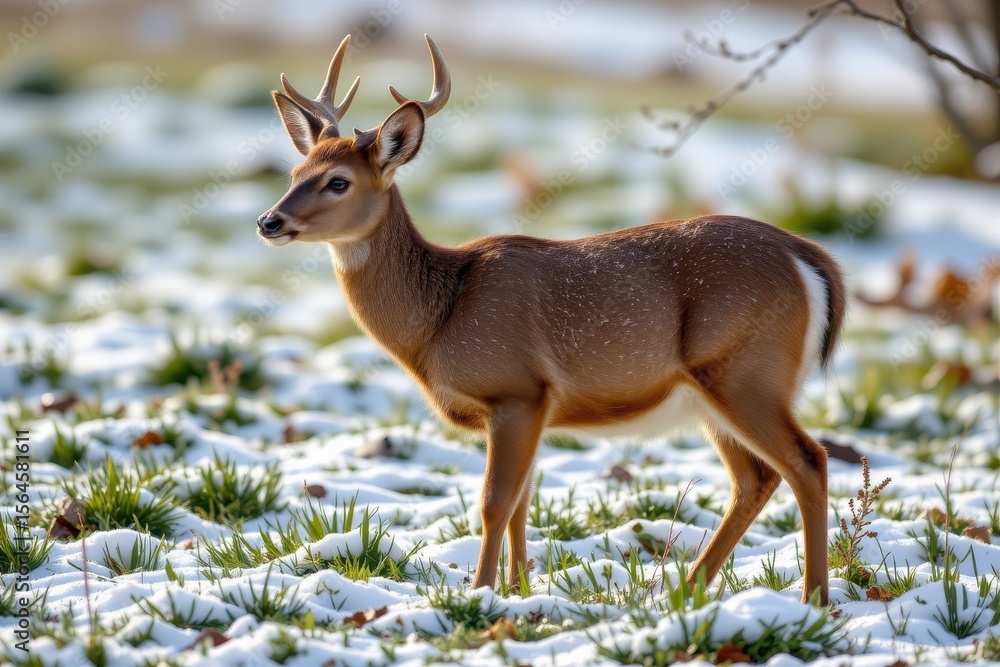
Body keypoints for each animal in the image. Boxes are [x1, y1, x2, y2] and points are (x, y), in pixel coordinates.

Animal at [257, 34, 846, 605]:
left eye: (338, 182)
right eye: (294, 173)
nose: (269, 221)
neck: (438, 318)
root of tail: (807, 255)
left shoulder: (515, 389)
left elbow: (495, 502)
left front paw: (481, 595)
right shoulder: (534, 408)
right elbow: (522, 502)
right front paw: (520, 593)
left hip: (745, 372)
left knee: (807, 460)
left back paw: (814, 598)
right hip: (713, 391)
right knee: (755, 478)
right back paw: (687, 590)